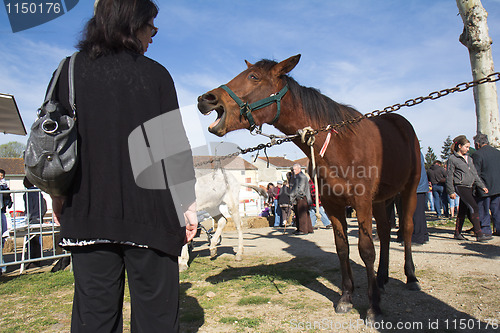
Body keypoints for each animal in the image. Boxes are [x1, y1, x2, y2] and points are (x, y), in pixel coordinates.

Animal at [197, 54, 420, 320]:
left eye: (253, 76)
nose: (206, 99)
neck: (340, 144)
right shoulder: (334, 206)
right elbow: (342, 248)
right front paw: (346, 297)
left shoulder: (362, 203)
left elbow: (366, 250)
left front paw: (373, 306)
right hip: (381, 200)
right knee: (385, 232)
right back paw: (383, 277)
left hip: (408, 190)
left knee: (406, 229)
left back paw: (410, 276)